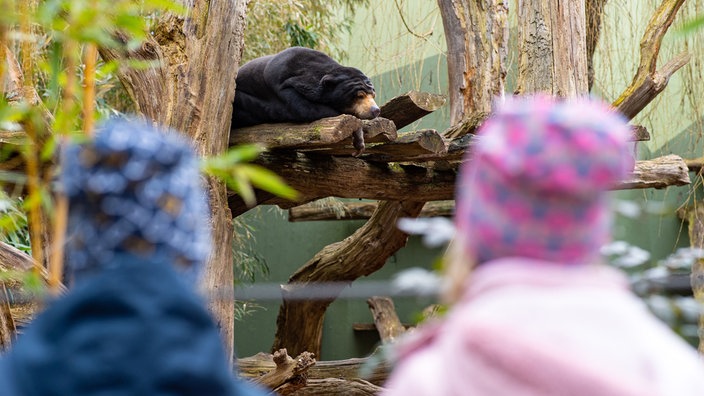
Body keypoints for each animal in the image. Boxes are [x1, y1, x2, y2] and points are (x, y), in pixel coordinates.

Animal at [231, 46, 380, 155]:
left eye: (373, 95)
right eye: (360, 96)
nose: (376, 110)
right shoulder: (283, 88)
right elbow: (305, 109)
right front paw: (358, 131)